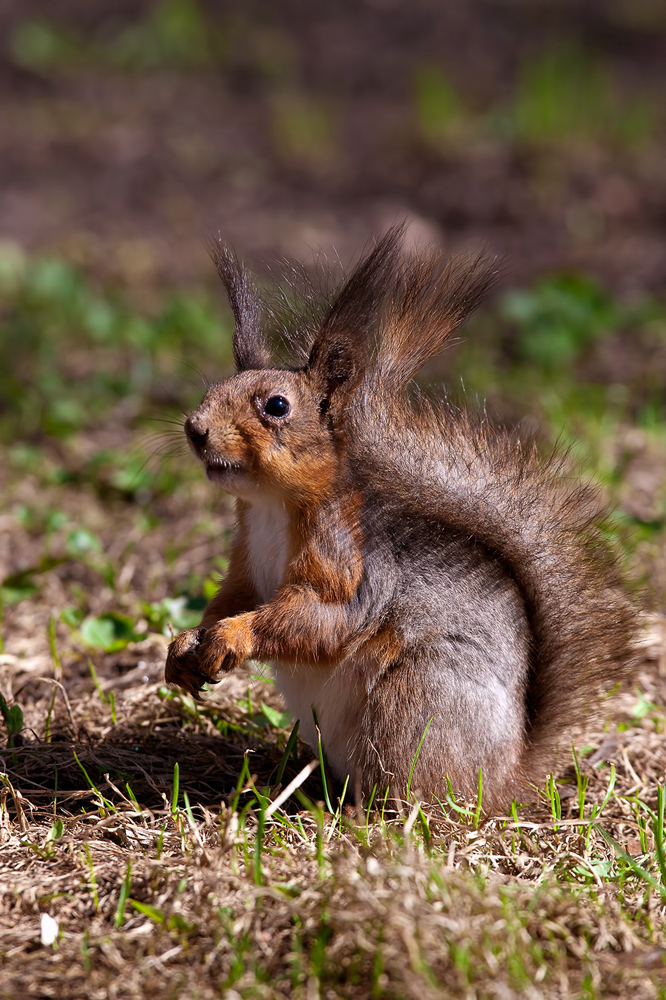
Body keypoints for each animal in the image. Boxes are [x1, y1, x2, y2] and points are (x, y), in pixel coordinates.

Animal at [163, 227, 636, 812]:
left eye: (276, 406)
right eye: (212, 389)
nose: (195, 428)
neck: (272, 507)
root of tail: (507, 777)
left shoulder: (351, 568)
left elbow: (318, 622)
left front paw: (232, 636)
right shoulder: (246, 564)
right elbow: (230, 598)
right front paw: (183, 646)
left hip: (413, 700)